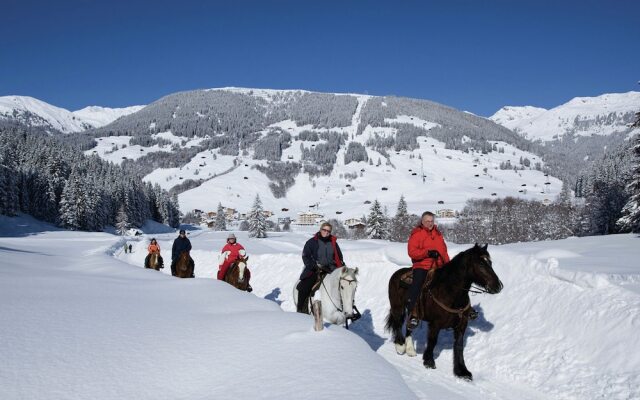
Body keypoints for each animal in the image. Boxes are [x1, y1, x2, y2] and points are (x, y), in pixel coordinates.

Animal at [384, 244, 504, 382]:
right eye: (480, 264)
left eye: (490, 262)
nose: (498, 286)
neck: (450, 292)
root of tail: (396, 274)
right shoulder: (435, 324)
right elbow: (432, 341)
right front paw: (429, 361)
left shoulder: (461, 326)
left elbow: (459, 346)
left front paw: (462, 371)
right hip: (397, 307)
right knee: (398, 324)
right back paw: (400, 346)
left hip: (411, 311)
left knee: (410, 325)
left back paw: (410, 350)